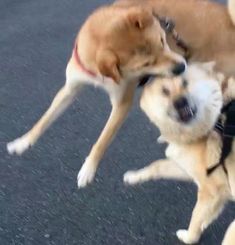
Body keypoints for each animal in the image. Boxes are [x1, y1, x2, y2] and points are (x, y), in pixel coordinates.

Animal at [6, 2, 184, 188]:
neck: (98, 74)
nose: (181, 67)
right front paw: (23, 142)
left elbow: (102, 141)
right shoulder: (69, 88)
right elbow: (44, 120)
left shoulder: (122, 104)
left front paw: (88, 169)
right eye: (146, 64)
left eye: (162, 41)